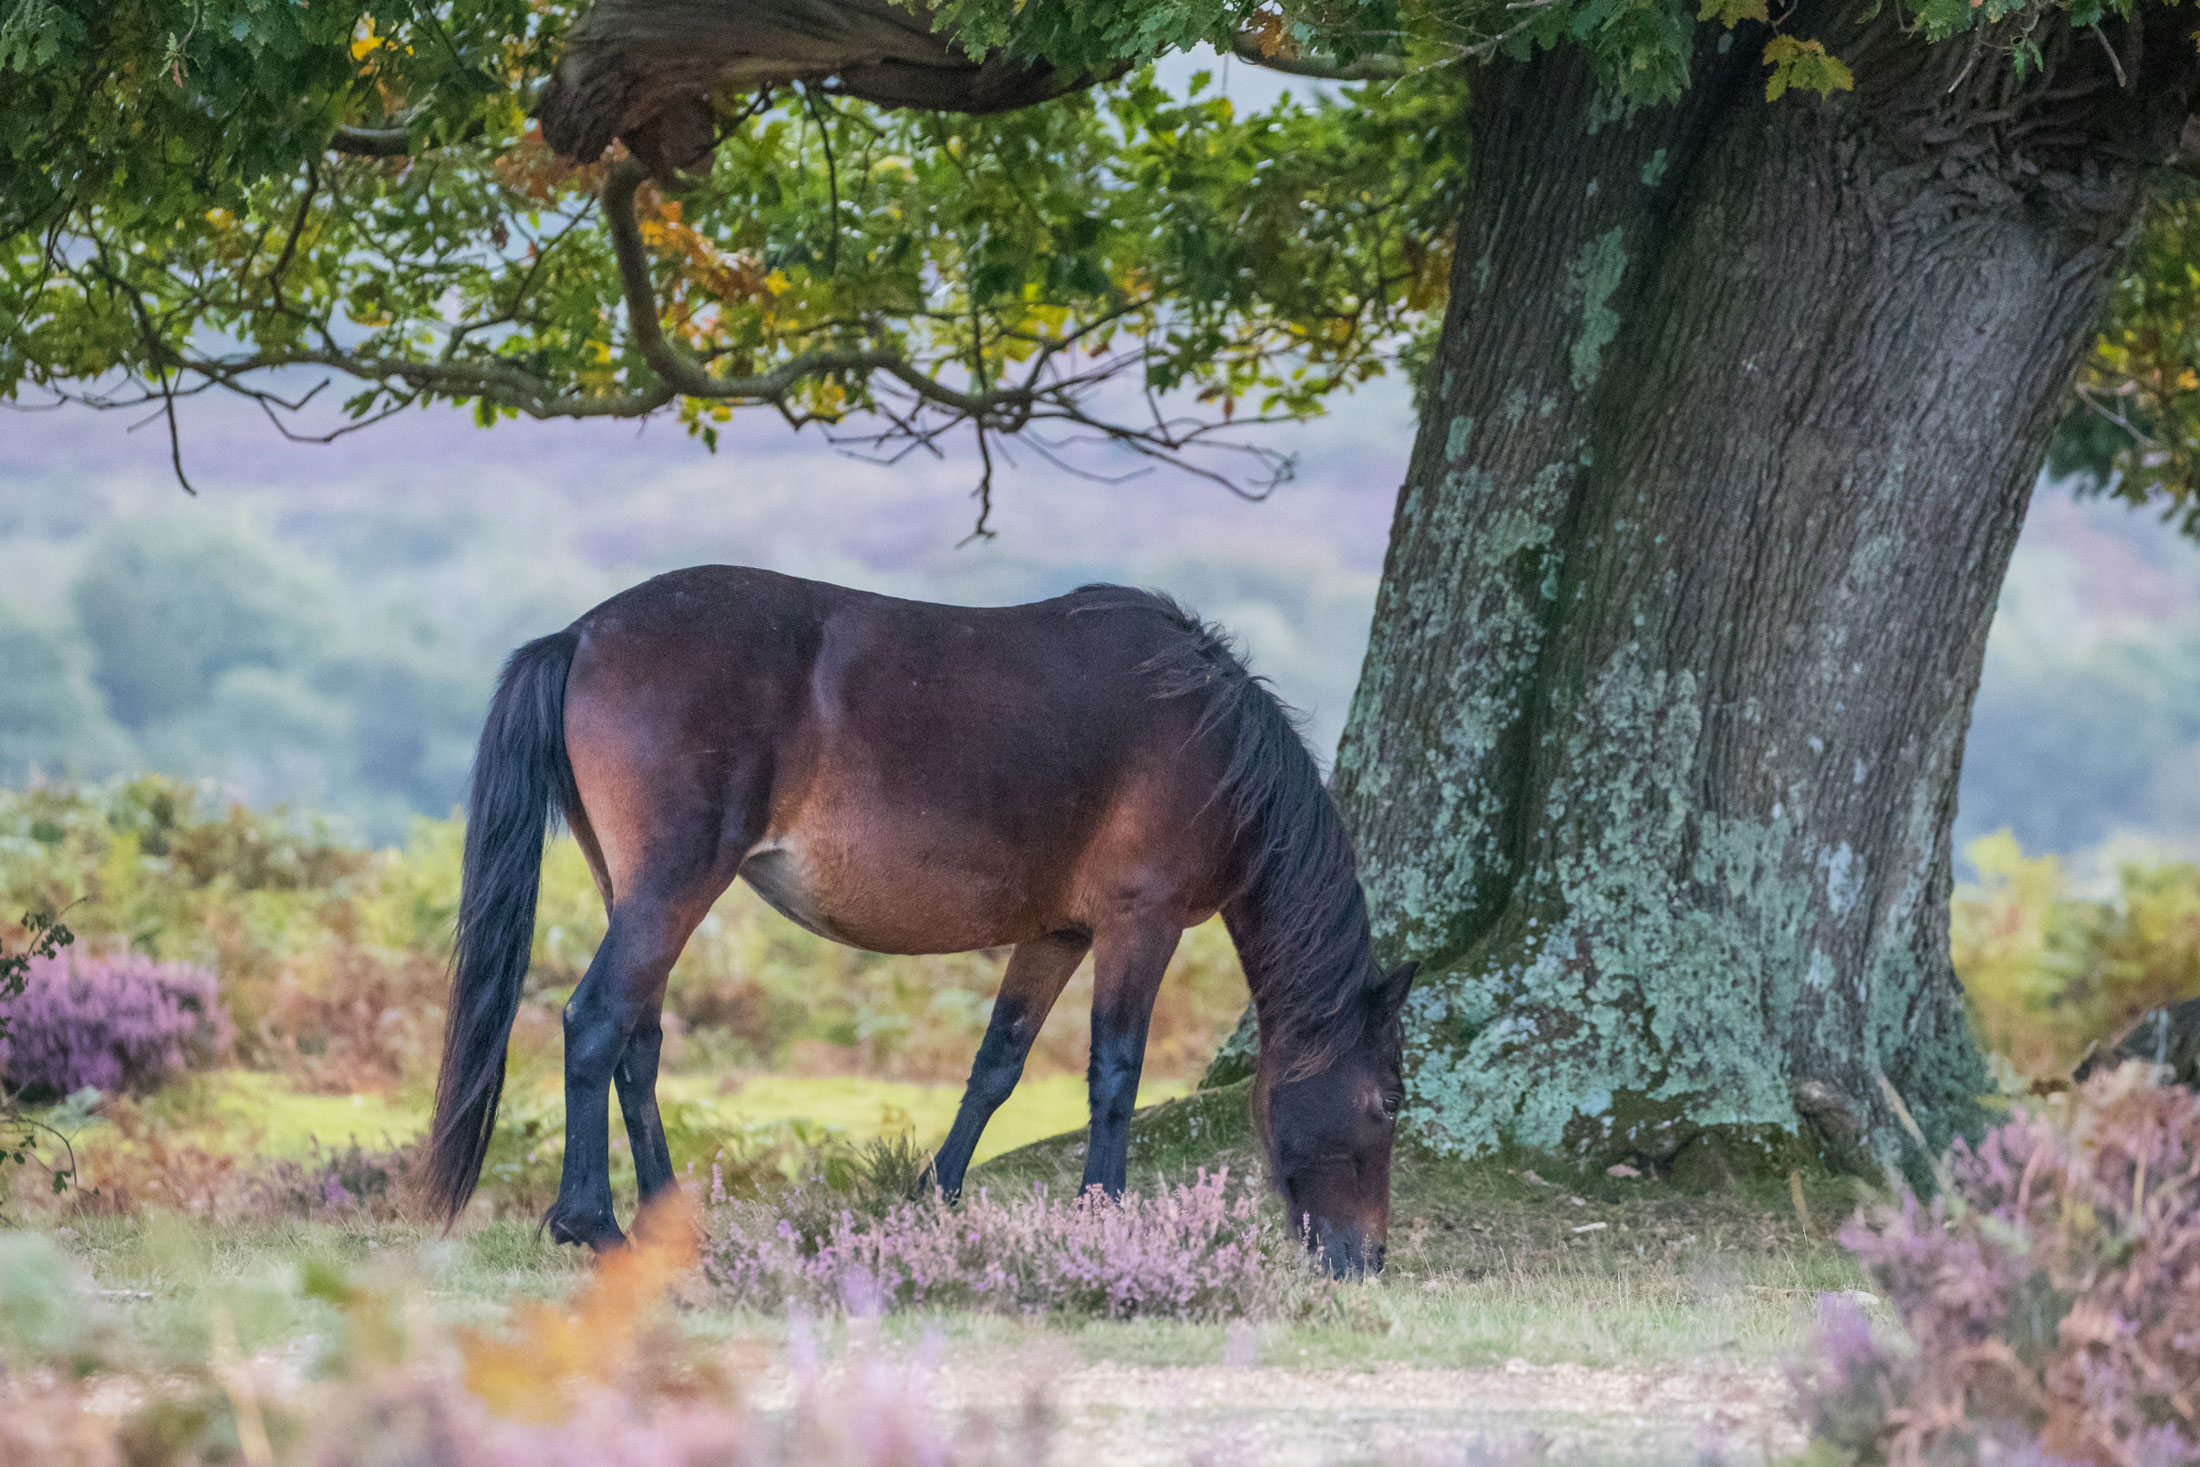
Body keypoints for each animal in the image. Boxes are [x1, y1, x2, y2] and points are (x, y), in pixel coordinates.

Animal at [422, 566, 1416, 1274]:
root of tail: (581, 634)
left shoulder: (1058, 932)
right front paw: (1106, 1219)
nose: (1365, 1260)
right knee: (595, 1023)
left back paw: (671, 1224)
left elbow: (997, 1064)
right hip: (672, 887)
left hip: (631, 890)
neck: (1207, 734)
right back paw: (596, 1226)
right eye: (1388, 1101)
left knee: (637, 1040)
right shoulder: (1143, 921)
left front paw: (933, 1201)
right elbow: (1115, 1074)